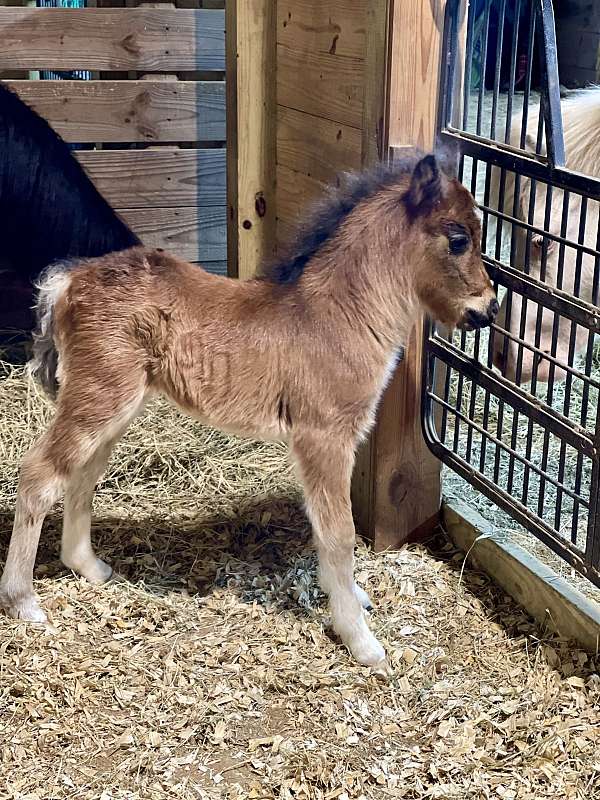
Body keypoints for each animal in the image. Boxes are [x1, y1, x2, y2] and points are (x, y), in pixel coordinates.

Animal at [0, 155, 496, 676]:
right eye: (458, 239)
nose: (487, 309)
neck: (338, 315)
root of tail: (68, 280)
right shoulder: (324, 436)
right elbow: (339, 534)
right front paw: (362, 641)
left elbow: (324, 528)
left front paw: (353, 601)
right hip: (99, 395)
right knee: (40, 474)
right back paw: (23, 601)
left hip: (115, 403)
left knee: (83, 473)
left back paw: (88, 567)